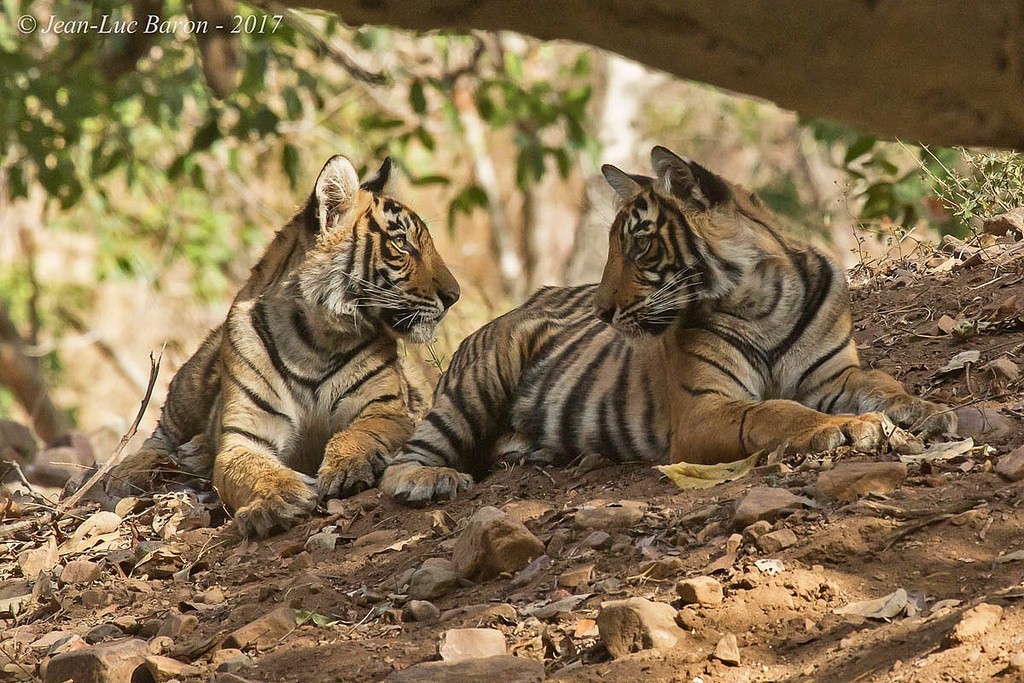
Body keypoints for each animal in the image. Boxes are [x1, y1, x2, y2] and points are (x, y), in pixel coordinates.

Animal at [105, 156, 458, 540]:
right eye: (402, 244)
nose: (454, 296)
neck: (316, 340)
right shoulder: (244, 437)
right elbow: (251, 468)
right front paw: (280, 499)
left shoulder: (385, 410)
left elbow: (358, 434)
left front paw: (348, 466)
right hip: (188, 387)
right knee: (158, 436)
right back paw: (139, 467)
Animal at [380, 145, 954, 507]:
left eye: (639, 245)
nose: (601, 313)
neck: (764, 301)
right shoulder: (703, 408)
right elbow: (777, 411)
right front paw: (842, 428)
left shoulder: (835, 375)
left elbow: (882, 382)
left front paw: (927, 411)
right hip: (474, 387)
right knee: (404, 459)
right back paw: (430, 482)